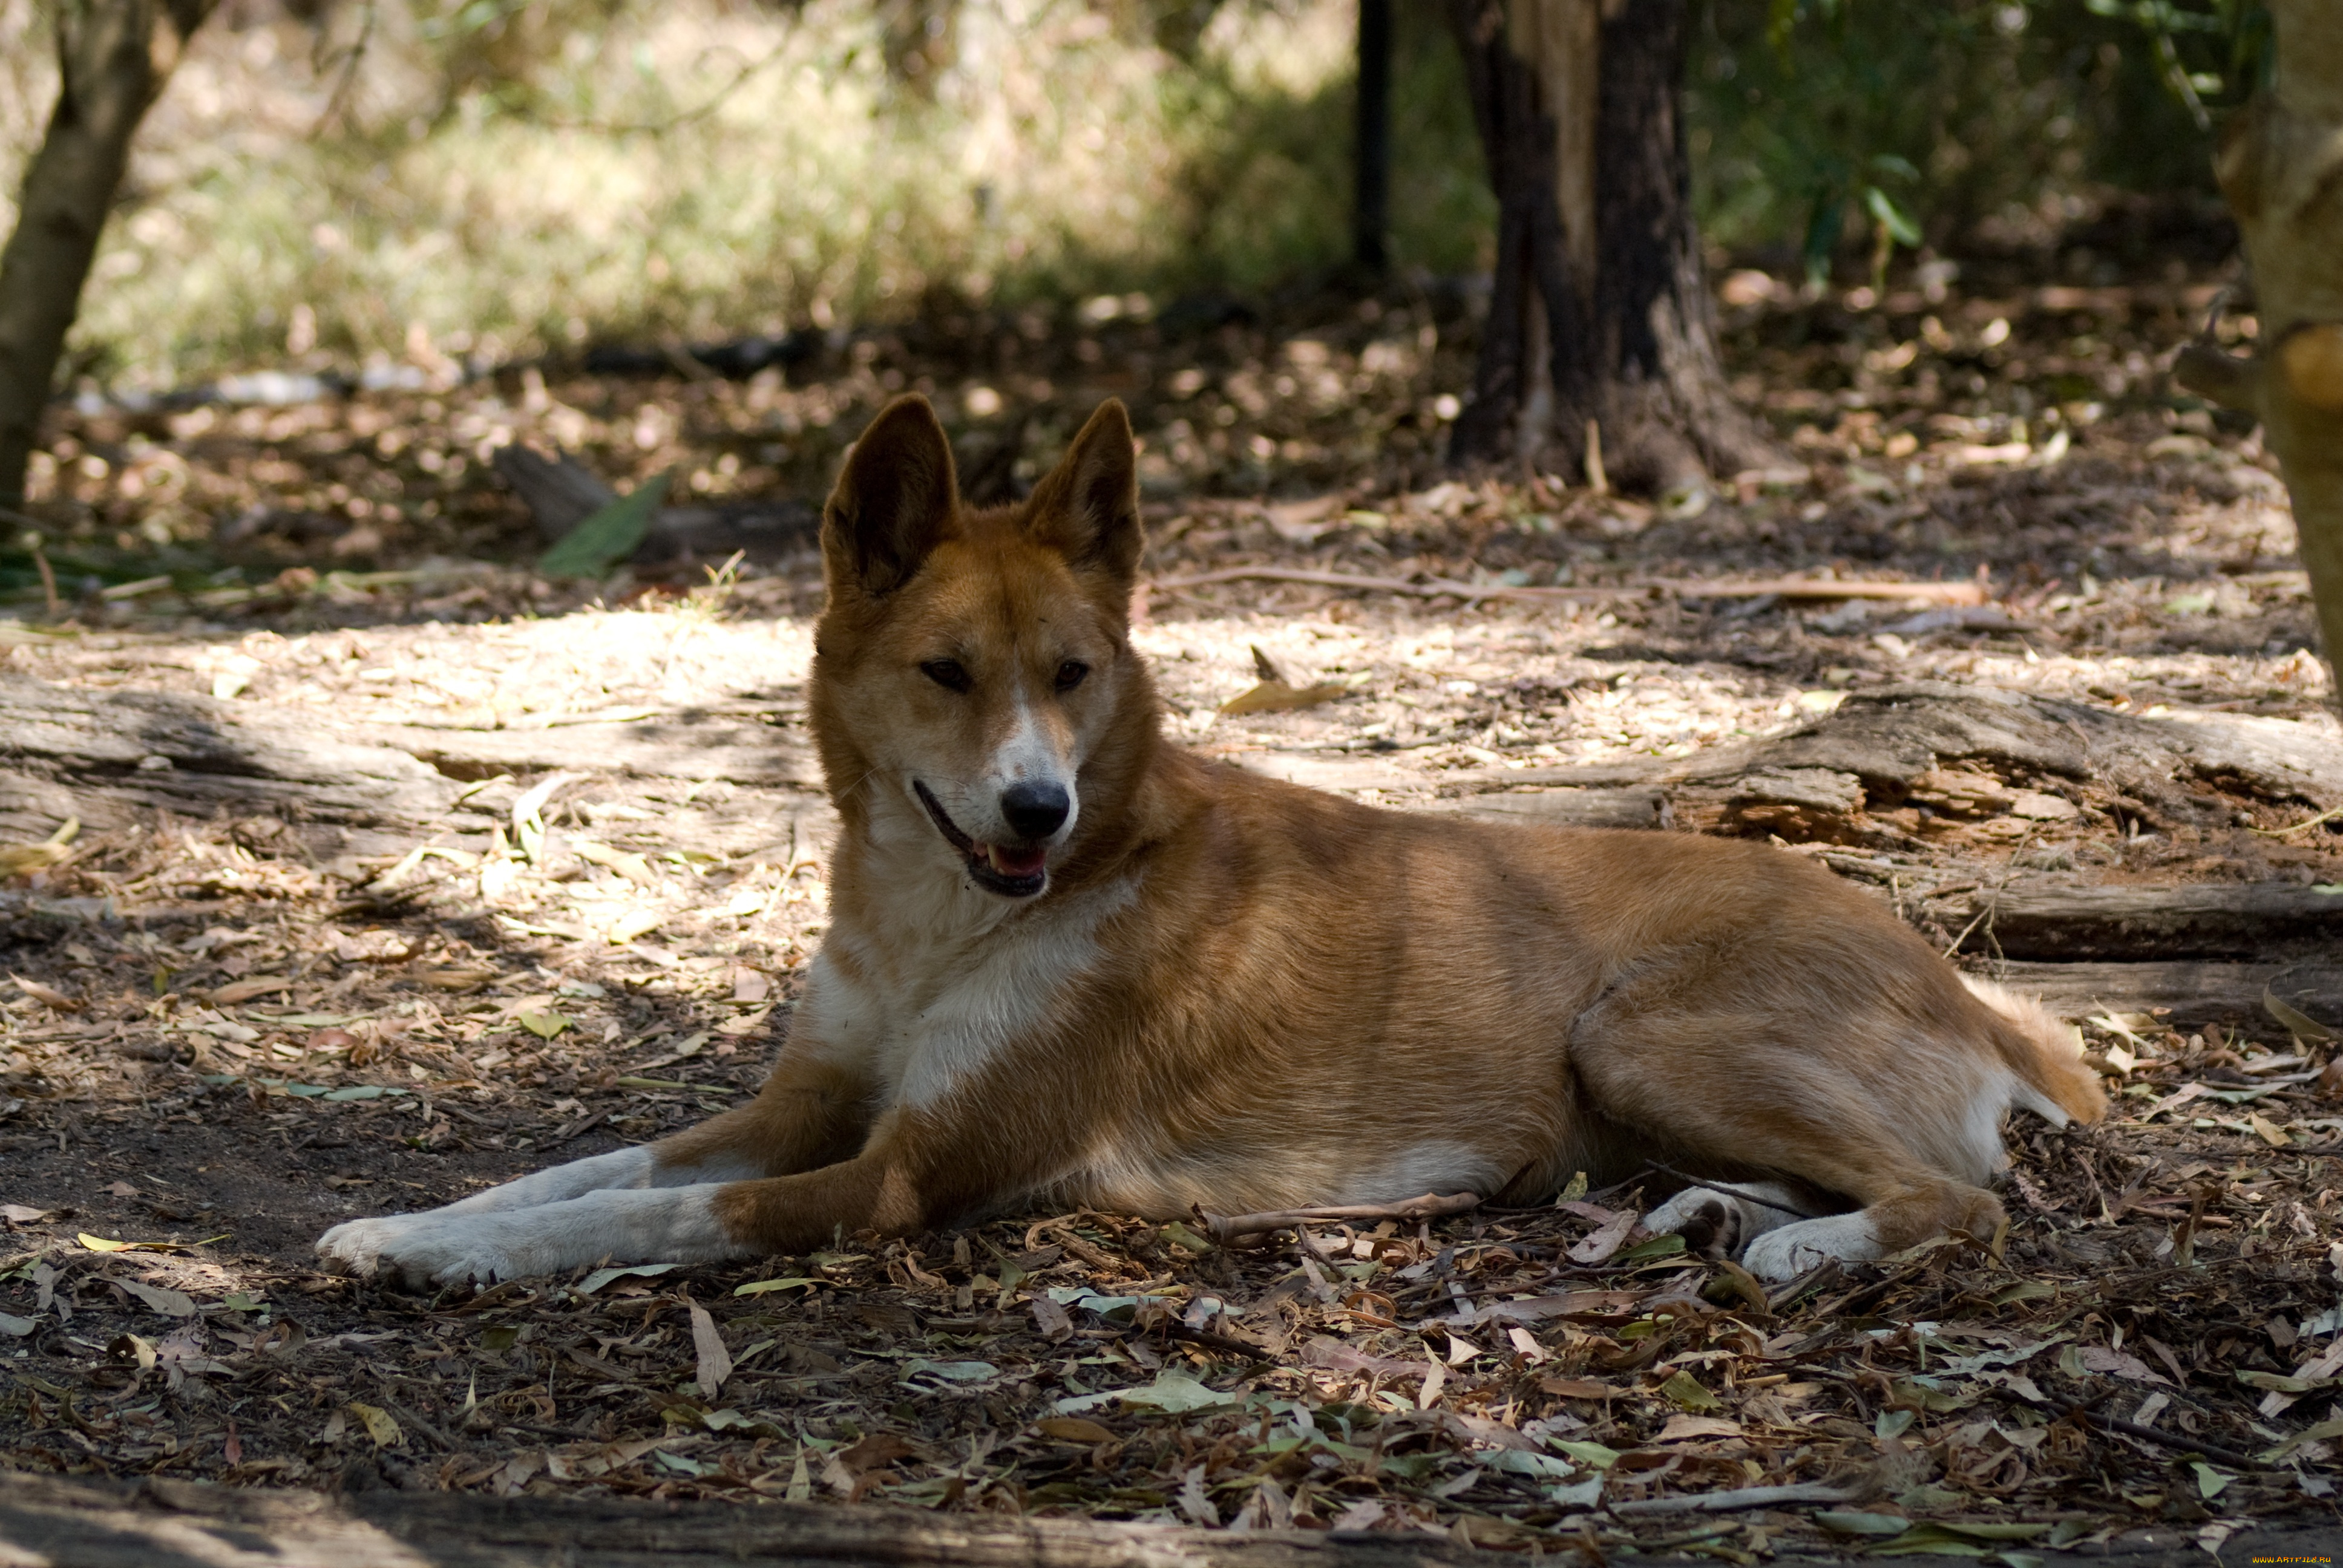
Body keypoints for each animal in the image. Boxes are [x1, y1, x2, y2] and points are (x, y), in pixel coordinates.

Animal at [316, 391, 2108, 1284]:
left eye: (1071, 676)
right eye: (948, 676)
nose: (1035, 809)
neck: (937, 924)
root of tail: (1956, 976)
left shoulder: (894, 1174)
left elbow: (636, 1217)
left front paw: (443, 1260)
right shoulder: (796, 1105)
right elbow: (584, 1168)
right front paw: (412, 1222)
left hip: (1644, 1030)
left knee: (1963, 1204)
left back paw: (1804, 1254)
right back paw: (1726, 1217)